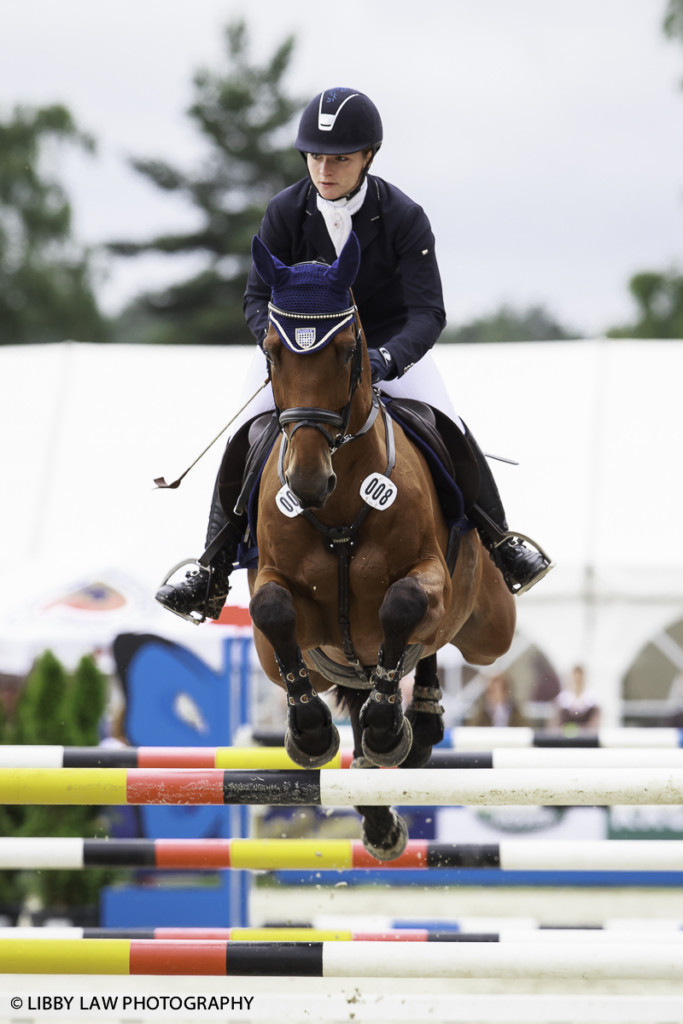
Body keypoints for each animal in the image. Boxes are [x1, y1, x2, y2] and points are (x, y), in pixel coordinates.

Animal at [245, 232, 511, 856]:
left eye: (348, 351)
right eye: (271, 350)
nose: (307, 482)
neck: (340, 505)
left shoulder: (427, 575)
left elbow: (402, 605)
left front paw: (390, 727)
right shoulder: (275, 596)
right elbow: (272, 609)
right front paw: (310, 731)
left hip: (490, 630)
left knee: (435, 647)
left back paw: (414, 724)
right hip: (307, 664)